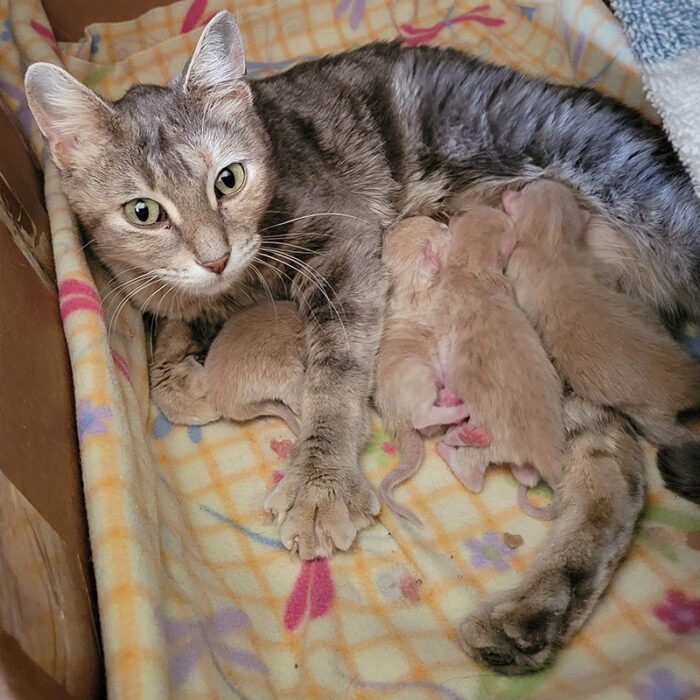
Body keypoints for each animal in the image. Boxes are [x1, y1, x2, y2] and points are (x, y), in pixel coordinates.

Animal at [24, 10, 700, 676]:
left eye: (229, 179)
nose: (215, 257)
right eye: (143, 212)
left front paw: (319, 482)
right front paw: (180, 361)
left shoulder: (343, 255)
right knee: (615, 474)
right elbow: (168, 331)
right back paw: (533, 615)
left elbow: (333, 373)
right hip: (553, 345)